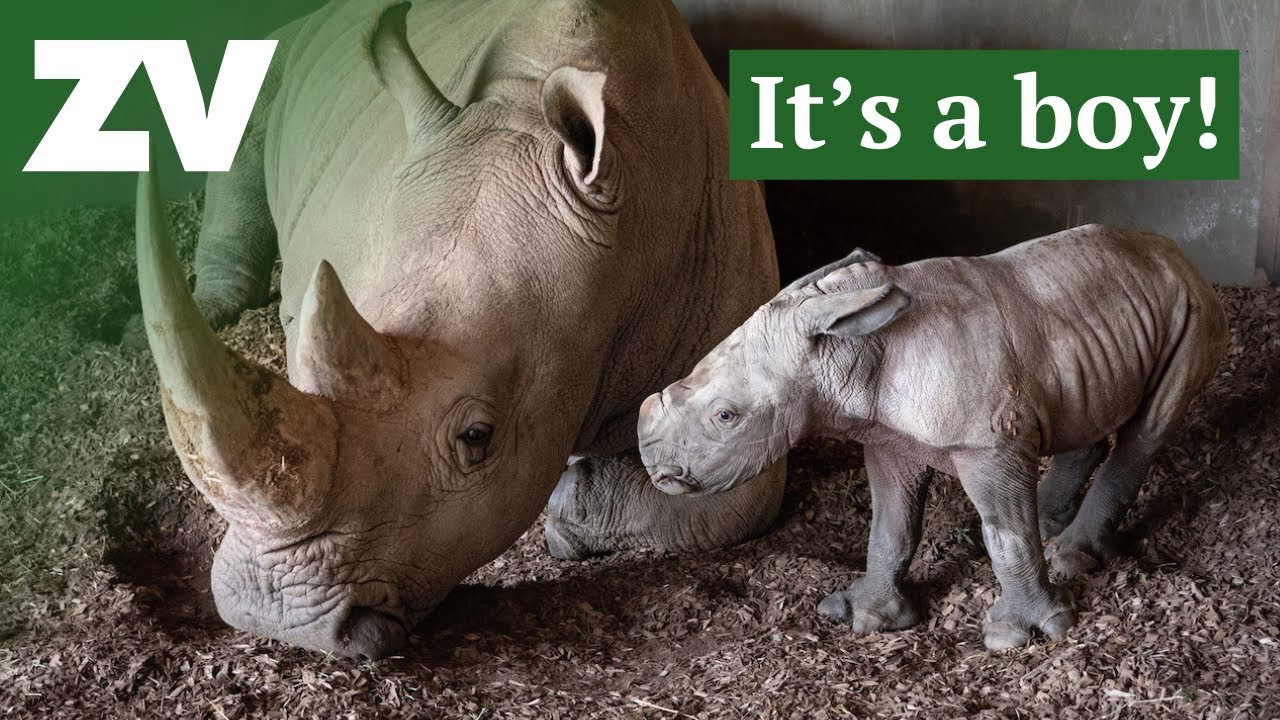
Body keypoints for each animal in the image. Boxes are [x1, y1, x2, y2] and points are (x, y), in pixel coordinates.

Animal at [636, 226, 1227, 650]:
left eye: (726, 416)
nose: (656, 470)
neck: (849, 347)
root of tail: (1179, 253)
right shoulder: (886, 436)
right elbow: (889, 526)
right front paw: (865, 616)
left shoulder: (987, 443)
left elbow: (1007, 535)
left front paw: (1019, 635)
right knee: (1080, 411)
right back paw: (1048, 524)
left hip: (1191, 307)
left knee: (1146, 431)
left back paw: (1069, 556)